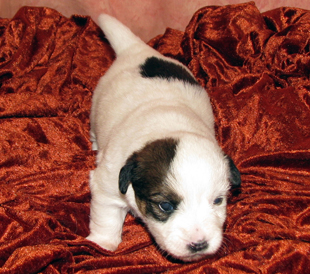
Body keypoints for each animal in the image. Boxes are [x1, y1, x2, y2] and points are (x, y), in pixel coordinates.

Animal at [86, 13, 241, 262]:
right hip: (95, 106)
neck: (169, 129)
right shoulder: (106, 187)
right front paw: (102, 243)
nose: (199, 244)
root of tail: (136, 49)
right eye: (165, 206)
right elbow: (106, 219)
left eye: (218, 200)